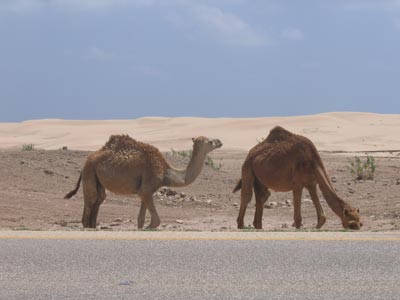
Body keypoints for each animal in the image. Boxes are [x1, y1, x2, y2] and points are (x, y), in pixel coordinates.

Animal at [64, 135, 223, 229]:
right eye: (210, 142)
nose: (220, 141)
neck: (165, 172)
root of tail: (87, 160)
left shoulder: (145, 191)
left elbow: (140, 219)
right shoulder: (147, 188)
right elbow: (155, 222)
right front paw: (148, 227)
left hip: (98, 178)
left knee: (99, 198)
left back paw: (93, 226)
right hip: (89, 171)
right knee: (91, 199)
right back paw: (87, 225)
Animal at [234, 125, 362, 231]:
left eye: (360, 223)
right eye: (351, 224)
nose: (356, 228)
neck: (313, 161)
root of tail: (250, 152)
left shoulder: (312, 183)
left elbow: (320, 212)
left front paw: (317, 226)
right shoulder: (297, 184)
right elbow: (298, 216)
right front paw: (299, 227)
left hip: (260, 178)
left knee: (262, 196)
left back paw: (258, 226)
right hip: (247, 167)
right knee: (247, 195)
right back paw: (241, 225)